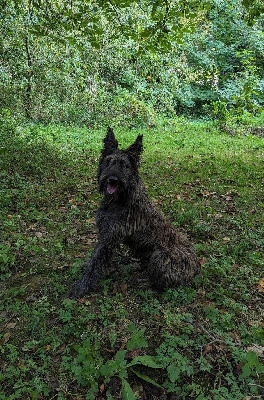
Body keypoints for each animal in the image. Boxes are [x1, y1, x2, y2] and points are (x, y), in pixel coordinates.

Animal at [69, 126, 200, 298]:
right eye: (109, 162)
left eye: (125, 166)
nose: (112, 179)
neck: (119, 199)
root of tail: (197, 266)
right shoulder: (105, 234)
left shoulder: (109, 238)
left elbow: (95, 263)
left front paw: (82, 287)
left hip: (161, 257)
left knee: (163, 284)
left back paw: (146, 283)